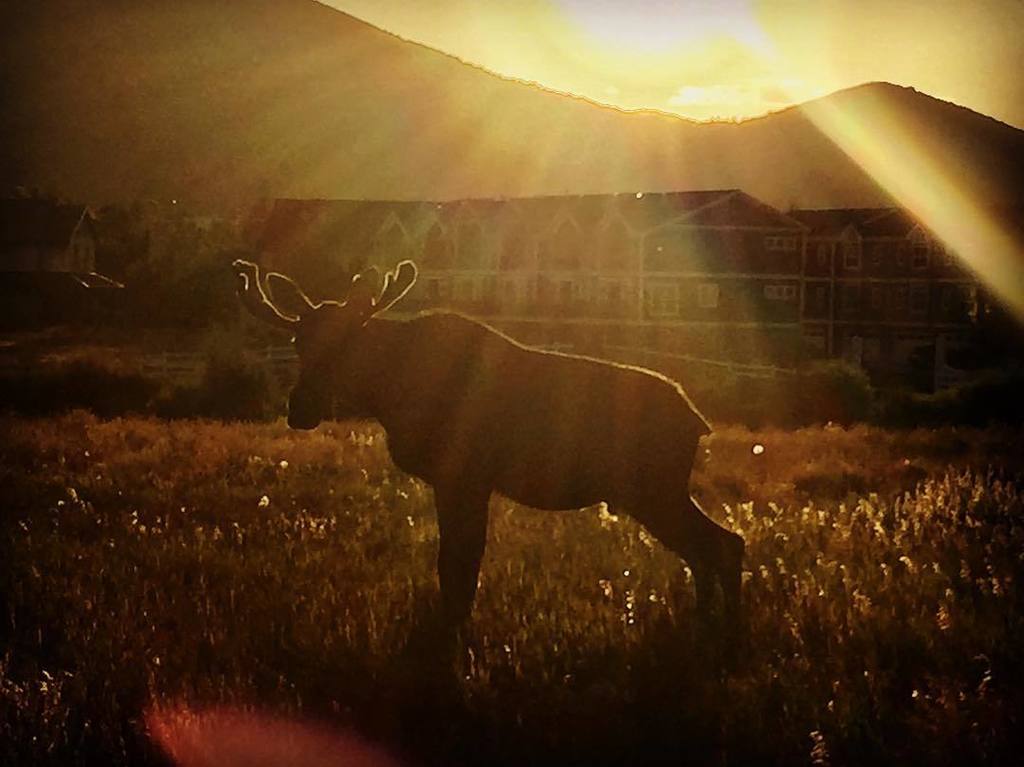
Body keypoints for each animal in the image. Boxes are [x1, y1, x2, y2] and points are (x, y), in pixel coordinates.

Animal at [233, 258, 744, 633]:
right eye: (298, 342)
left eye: (348, 346)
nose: (299, 409)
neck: (391, 392)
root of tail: (699, 422)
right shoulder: (458, 481)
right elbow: (455, 560)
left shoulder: (465, 476)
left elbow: (460, 560)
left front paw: (455, 625)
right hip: (657, 492)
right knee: (710, 547)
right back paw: (705, 621)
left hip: (653, 489)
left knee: (724, 543)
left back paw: (728, 631)